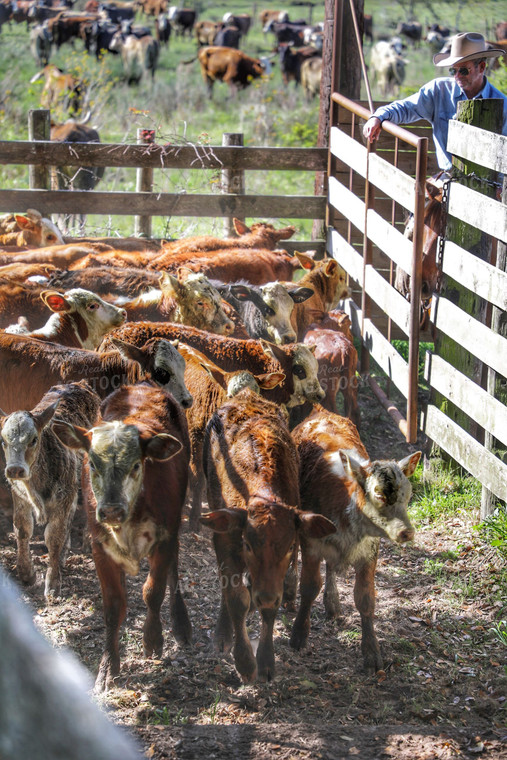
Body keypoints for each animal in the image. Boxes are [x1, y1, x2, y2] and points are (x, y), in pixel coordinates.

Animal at [53, 382, 192, 692]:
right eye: (92, 464)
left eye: (136, 465)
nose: (112, 510)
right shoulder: (100, 548)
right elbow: (113, 605)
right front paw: (108, 666)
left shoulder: (164, 539)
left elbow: (153, 591)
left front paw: (153, 639)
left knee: (174, 569)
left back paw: (181, 623)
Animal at [200, 388, 336, 680]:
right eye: (248, 545)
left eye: (289, 547)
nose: (264, 596)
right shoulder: (226, 540)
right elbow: (235, 598)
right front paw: (244, 661)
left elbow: (269, 606)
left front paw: (265, 661)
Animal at [290, 406, 420, 672]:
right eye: (378, 494)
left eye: (408, 494)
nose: (406, 532)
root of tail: (321, 410)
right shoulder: (311, 543)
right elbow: (309, 587)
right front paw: (298, 634)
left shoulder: (369, 552)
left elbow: (365, 598)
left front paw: (371, 652)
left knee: (331, 568)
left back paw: (333, 605)